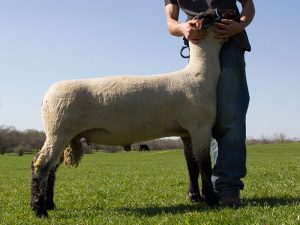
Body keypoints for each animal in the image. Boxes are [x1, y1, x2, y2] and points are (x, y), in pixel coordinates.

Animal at [30, 9, 239, 217]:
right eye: (209, 16)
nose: (231, 14)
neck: (199, 74)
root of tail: (46, 96)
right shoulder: (200, 126)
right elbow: (204, 165)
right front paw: (212, 200)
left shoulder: (187, 132)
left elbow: (193, 165)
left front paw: (198, 198)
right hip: (58, 131)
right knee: (40, 165)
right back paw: (39, 210)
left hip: (62, 134)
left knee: (51, 169)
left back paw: (49, 204)